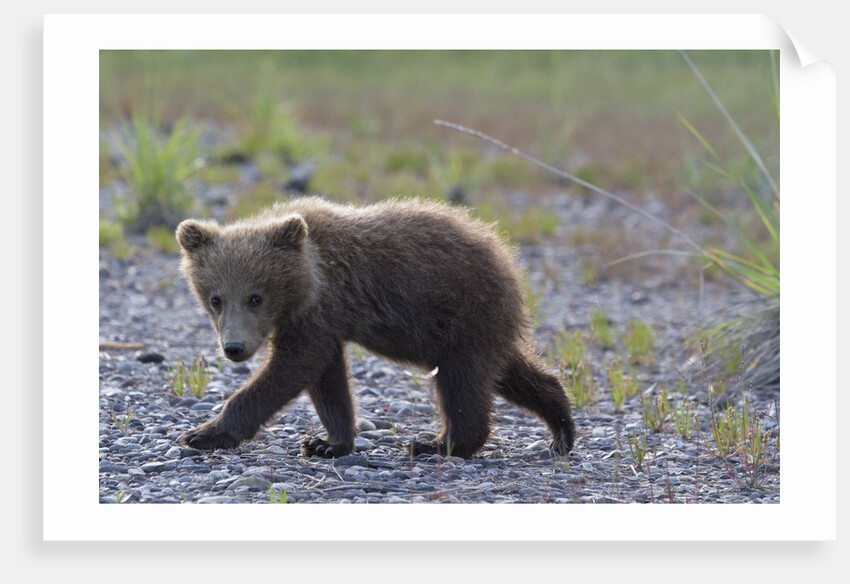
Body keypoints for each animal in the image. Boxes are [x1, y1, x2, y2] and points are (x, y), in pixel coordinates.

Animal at [176, 197, 575, 459]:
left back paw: (434, 444)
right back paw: (561, 428)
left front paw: (204, 432)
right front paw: (327, 443)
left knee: (462, 383)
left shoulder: (323, 307)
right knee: (509, 372)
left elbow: (293, 366)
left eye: (256, 297)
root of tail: (506, 256)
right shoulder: (321, 320)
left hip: (464, 315)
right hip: (480, 327)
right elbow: (328, 380)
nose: (234, 348)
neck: (310, 275)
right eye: (216, 299)